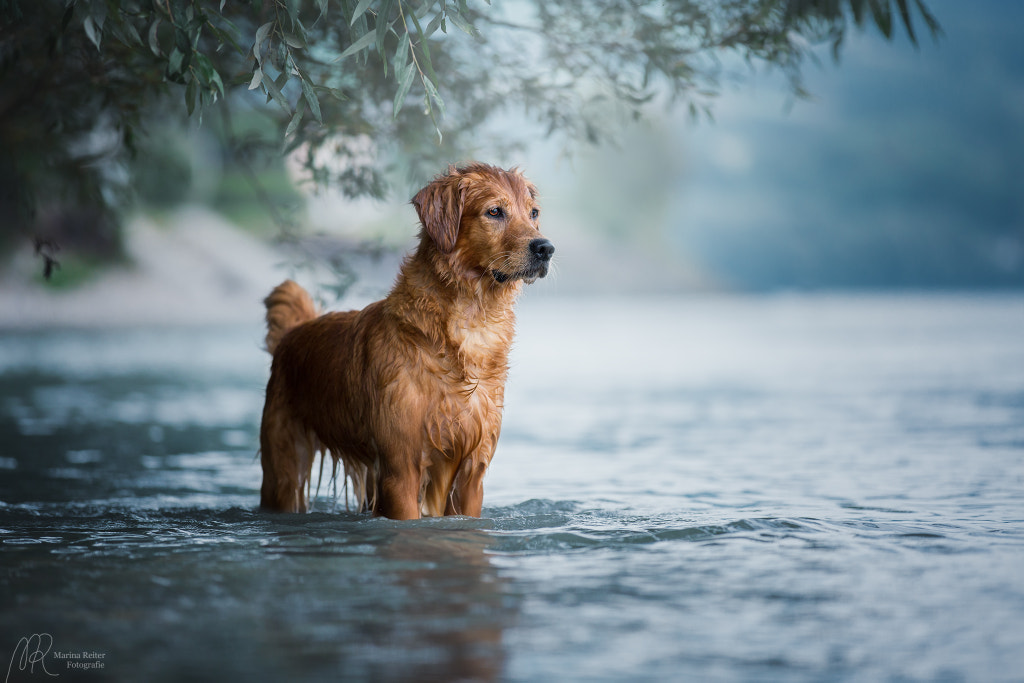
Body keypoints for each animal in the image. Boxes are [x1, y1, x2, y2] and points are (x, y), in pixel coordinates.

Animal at [260, 163, 557, 518]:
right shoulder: (401, 468)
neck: (470, 326)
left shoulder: (473, 472)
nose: (545, 248)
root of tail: (292, 333)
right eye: (495, 211)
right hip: (282, 468)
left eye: (534, 213)